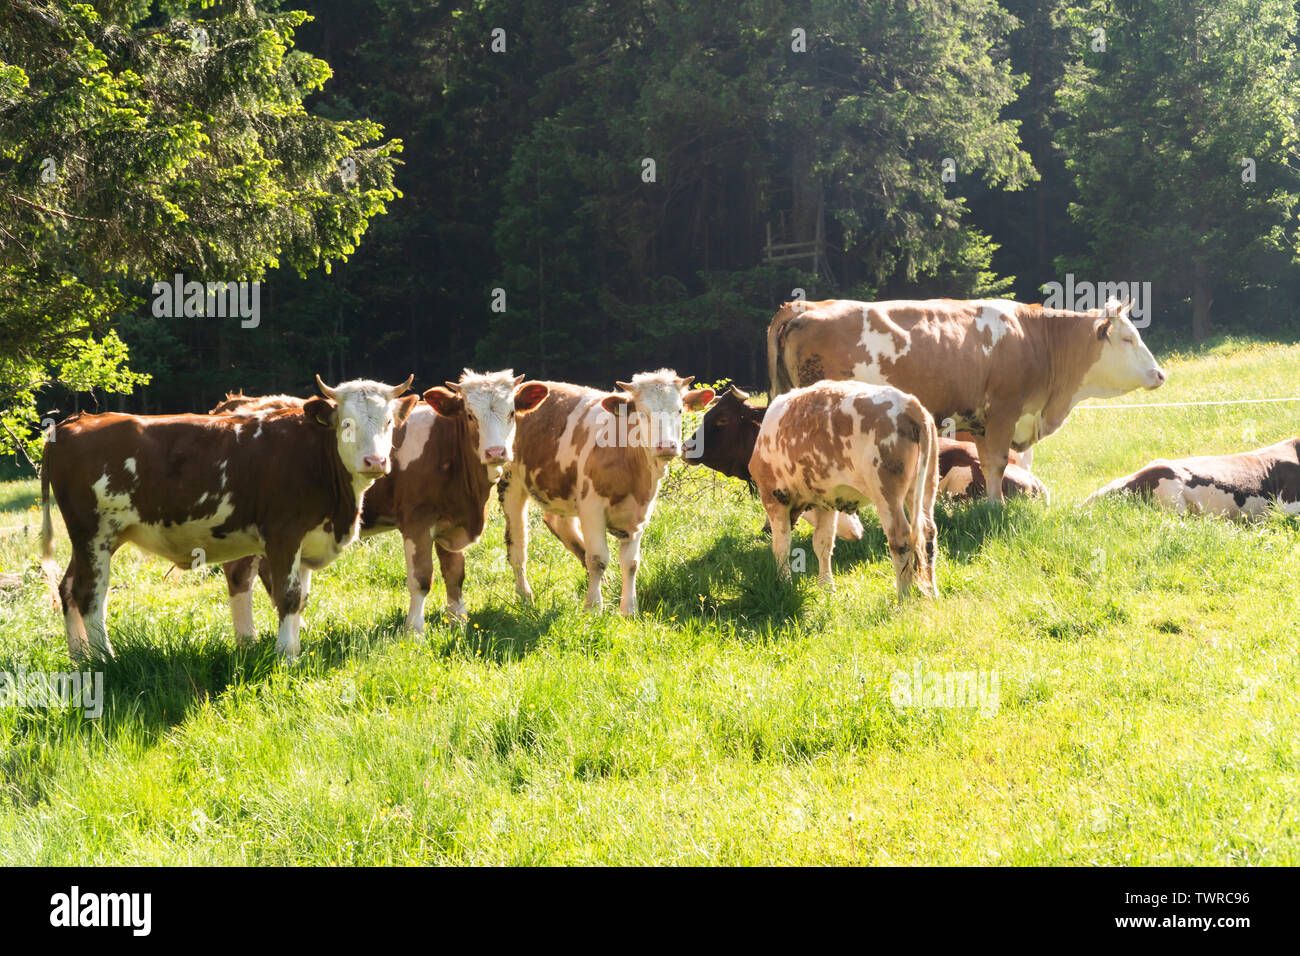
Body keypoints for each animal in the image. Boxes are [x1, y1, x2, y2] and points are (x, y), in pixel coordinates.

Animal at [39, 376, 417, 660]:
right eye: (347, 424)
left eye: (388, 423)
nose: (375, 461)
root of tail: (77, 420)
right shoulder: (283, 534)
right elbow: (288, 596)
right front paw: (286, 656)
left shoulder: (309, 538)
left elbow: (301, 599)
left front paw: (295, 648)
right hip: (94, 533)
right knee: (90, 593)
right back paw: (106, 661)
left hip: (91, 539)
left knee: (68, 587)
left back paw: (80, 659)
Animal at [212, 370, 549, 634]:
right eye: (470, 414)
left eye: (511, 413)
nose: (496, 452)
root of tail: (236, 404)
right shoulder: (417, 520)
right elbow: (421, 578)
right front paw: (415, 630)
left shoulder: (452, 521)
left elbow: (455, 573)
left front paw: (459, 620)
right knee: (240, 574)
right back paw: (250, 638)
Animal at [499, 370, 714, 615]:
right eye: (643, 412)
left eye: (679, 410)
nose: (666, 446)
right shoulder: (591, 508)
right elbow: (597, 559)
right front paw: (593, 607)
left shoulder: (641, 511)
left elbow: (631, 563)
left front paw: (629, 609)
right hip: (511, 483)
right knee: (517, 545)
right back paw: (525, 596)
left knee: (558, 523)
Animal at [749, 380, 939, 600]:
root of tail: (909, 403)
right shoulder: (826, 501)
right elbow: (822, 543)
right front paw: (826, 588)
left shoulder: (774, 497)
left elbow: (781, 545)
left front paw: (784, 584)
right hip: (925, 486)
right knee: (928, 533)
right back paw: (933, 593)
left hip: (886, 494)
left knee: (900, 539)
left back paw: (904, 598)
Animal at [766, 297, 1166, 500]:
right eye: (1128, 338)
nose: (1160, 374)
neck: (1036, 338)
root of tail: (804, 308)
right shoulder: (1004, 410)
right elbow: (999, 463)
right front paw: (997, 506)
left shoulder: (980, 421)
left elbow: (988, 463)